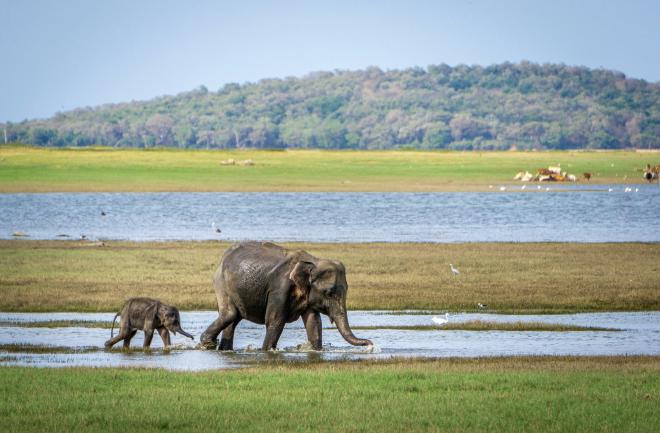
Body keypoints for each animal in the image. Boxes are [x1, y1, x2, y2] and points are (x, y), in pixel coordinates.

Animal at [201, 241, 372, 350]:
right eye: (329, 293)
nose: (371, 344)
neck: (312, 262)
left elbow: (313, 322)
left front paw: (316, 351)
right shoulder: (279, 288)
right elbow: (275, 321)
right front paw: (266, 351)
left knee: (234, 318)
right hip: (221, 283)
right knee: (230, 314)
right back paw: (207, 343)